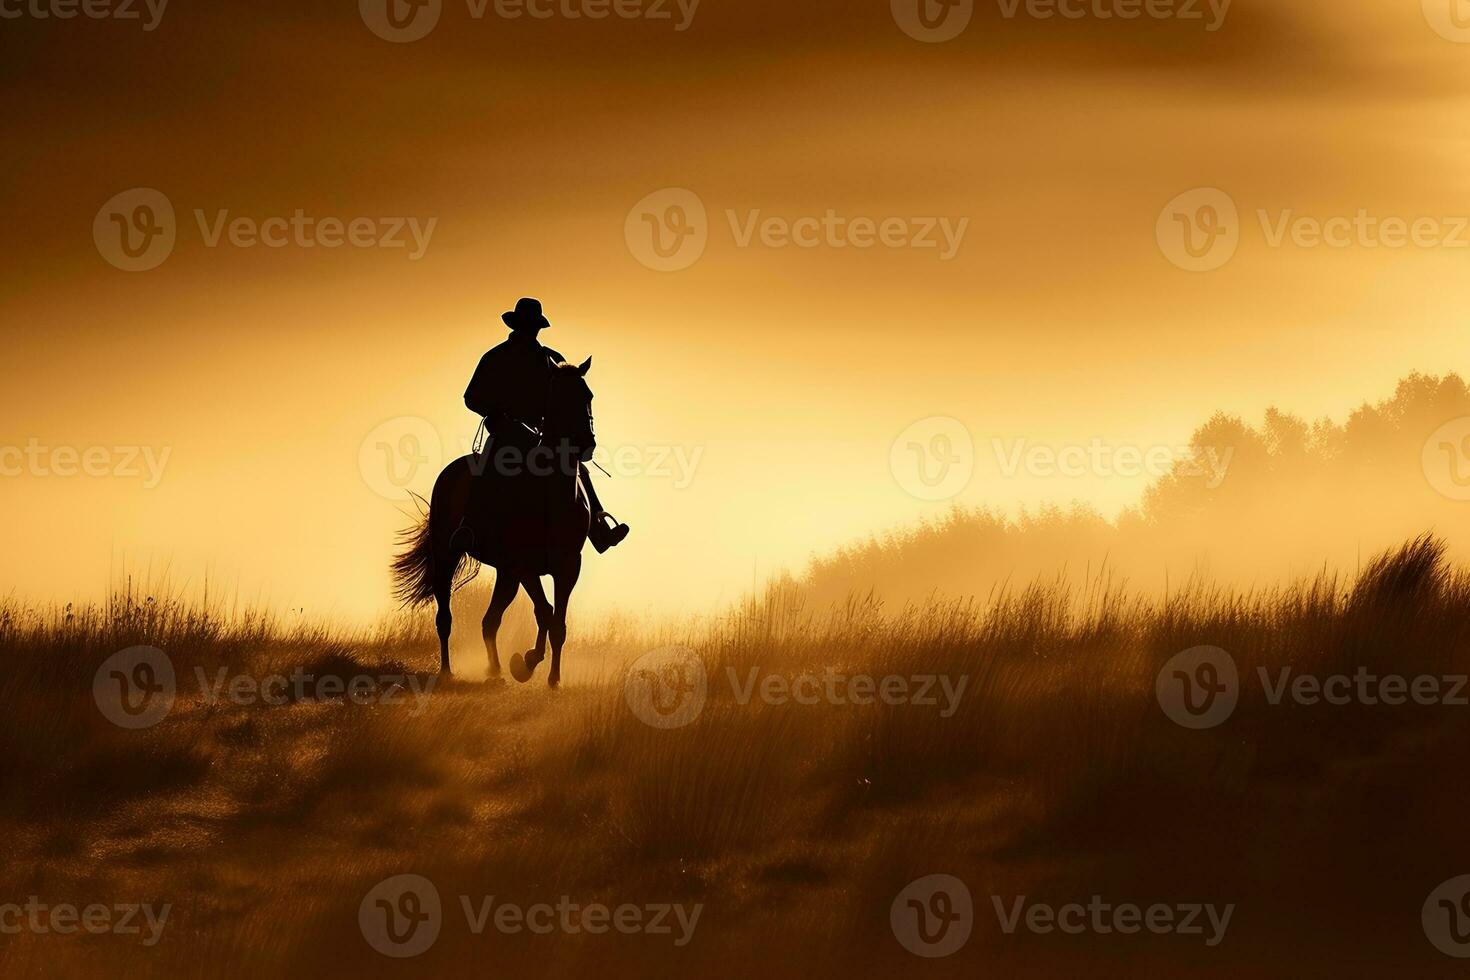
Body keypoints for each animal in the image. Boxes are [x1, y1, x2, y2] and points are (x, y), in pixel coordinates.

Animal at [393, 357, 599, 687]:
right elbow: (545, 612)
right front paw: (526, 663)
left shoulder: (567, 567)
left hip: (506, 574)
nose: (585, 444)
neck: (549, 496)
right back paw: (448, 671)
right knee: (445, 617)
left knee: (490, 621)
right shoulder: (525, 565)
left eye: (587, 395)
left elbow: (558, 623)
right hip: (448, 555)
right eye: (559, 398)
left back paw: (495, 670)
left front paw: (553, 678)